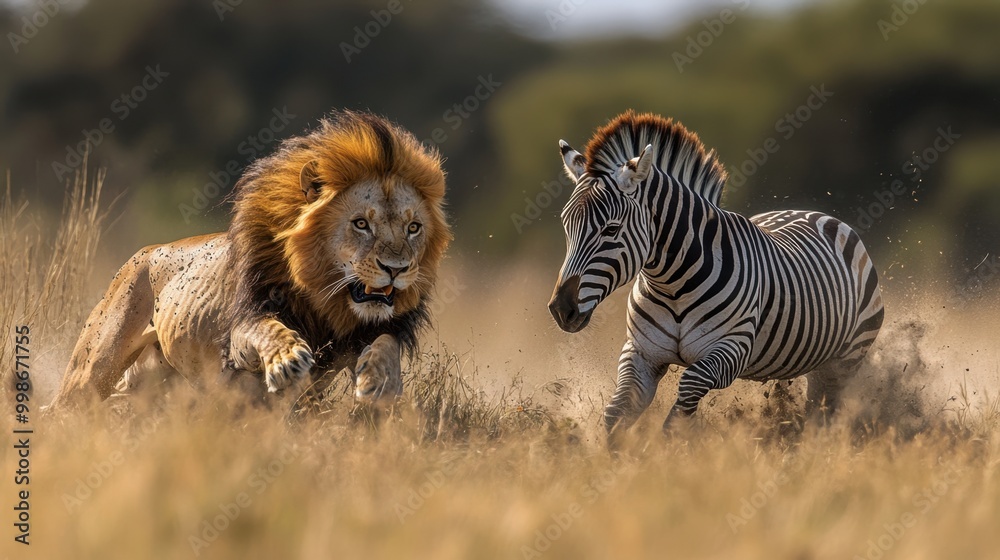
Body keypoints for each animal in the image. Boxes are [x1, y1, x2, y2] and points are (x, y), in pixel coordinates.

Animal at [47, 110, 451, 412]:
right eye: (361, 224)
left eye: (413, 227)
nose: (396, 270)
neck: (325, 297)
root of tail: (143, 253)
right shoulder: (242, 326)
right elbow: (268, 329)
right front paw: (287, 361)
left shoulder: (368, 333)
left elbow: (386, 344)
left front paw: (379, 380)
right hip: (93, 368)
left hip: (158, 382)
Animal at [547, 111, 884, 442]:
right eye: (565, 225)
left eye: (612, 229)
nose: (561, 309)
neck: (671, 284)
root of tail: (815, 213)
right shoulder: (642, 352)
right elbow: (616, 413)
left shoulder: (730, 350)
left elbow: (687, 389)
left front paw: (672, 441)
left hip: (845, 359)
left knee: (824, 412)